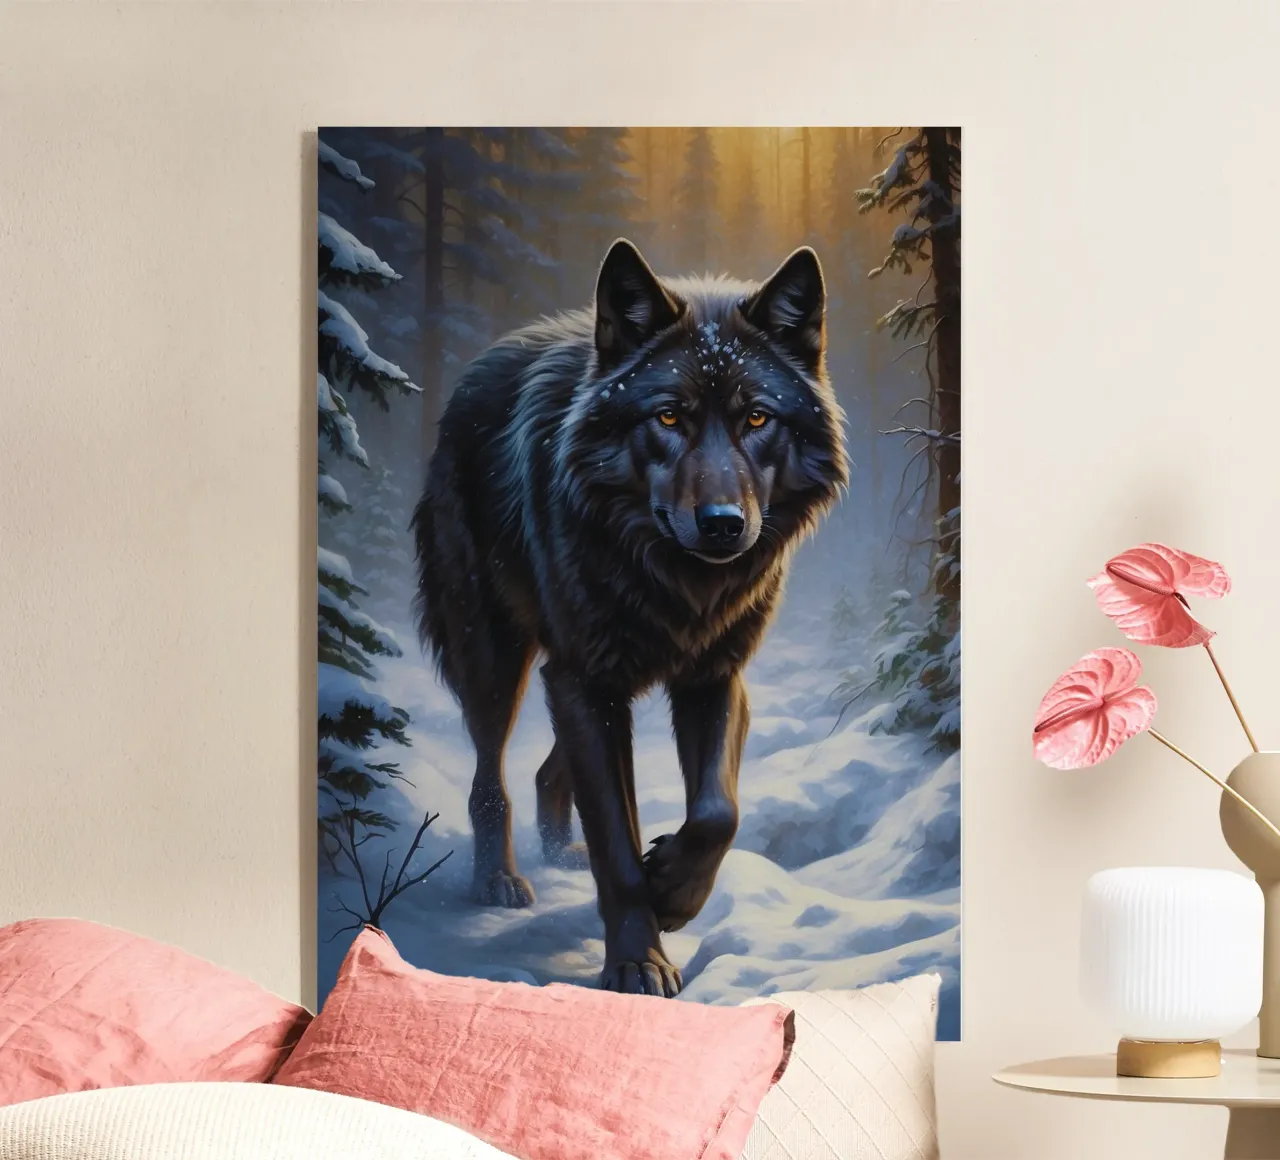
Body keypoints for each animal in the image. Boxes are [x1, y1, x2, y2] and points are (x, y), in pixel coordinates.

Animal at [413, 239, 848, 996]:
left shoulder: (711, 677)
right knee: (490, 774)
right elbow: (616, 843)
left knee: (548, 770)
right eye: (669, 417)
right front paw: (637, 960)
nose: (723, 524)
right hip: (500, 659)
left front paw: (672, 888)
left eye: (757, 418)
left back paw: (562, 853)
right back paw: (500, 880)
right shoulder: (586, 681)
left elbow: (718, 812)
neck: (676, 584)